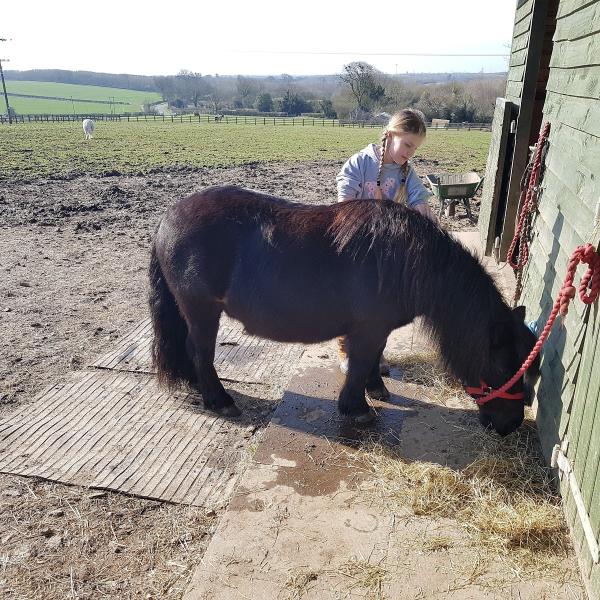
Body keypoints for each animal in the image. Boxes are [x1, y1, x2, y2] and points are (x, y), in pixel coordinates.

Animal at [149, 185, 540, 434]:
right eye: (504, 365)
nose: (511, 425)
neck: (407, 260)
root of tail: (168, 217)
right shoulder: (368, 329)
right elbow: (362, 362)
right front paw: (357, 408)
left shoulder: (376, 329)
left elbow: (374, 358)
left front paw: (375, 389)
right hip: (202, 311)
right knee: (200, 351)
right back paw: (218, 400)